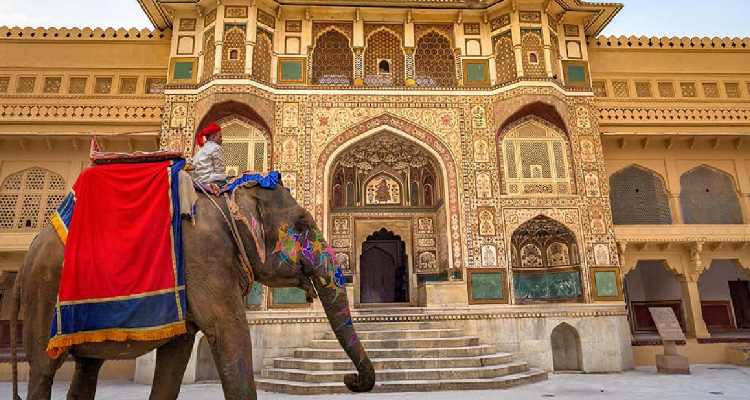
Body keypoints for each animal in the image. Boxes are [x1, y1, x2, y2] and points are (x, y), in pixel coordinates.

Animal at [10, 182, 374, 400]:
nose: (350, 381)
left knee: (87, 367)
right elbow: (231, 335)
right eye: (301, 224)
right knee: (43, 370)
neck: (227, 202)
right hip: (43, 291)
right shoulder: (205, 259)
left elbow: (178, 353)